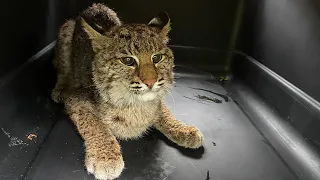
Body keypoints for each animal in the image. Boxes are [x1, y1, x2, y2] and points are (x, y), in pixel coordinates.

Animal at [51, 3, 204, 180]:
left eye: (157, 58)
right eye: (128, 60)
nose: (150, 82)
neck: (134, 103)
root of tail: (96, 5)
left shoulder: (156, 99)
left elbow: (162, 110)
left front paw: (183, 130)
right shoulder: (76, 98)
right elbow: (95, 123)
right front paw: (105, 158)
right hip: (66, 30)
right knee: (62, 69)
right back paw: (59, 89)